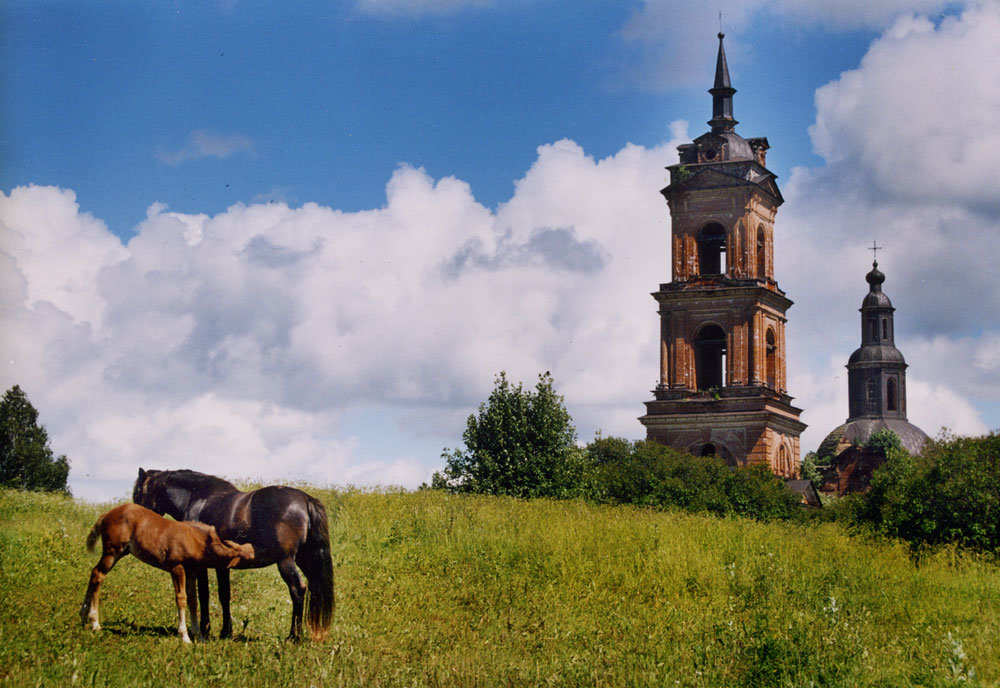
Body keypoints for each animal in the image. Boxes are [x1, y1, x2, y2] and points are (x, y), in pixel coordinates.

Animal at [80, 502, 256, 644]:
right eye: (245, 557)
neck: (195, 540)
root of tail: (105, 515)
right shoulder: (176, 568)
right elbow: (181, 599)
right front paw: (185, 636)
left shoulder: (191, 572)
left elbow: (193, 601)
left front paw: (199, 636)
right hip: (112, 551)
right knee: (98, 575)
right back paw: (95, 623)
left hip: (121, 552)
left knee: (94, 573)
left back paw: (83, 616)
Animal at [131, 464, 336, 644]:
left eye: (138, 493)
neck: (197, 499)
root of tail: (305, 500)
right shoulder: (222, 566)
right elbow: (224, 595)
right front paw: (225, 631)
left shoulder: (201, 565)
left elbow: (203, 595)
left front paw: (206, 629)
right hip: (305, 560)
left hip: (285, 561)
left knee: (297, 589)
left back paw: (293, 636)